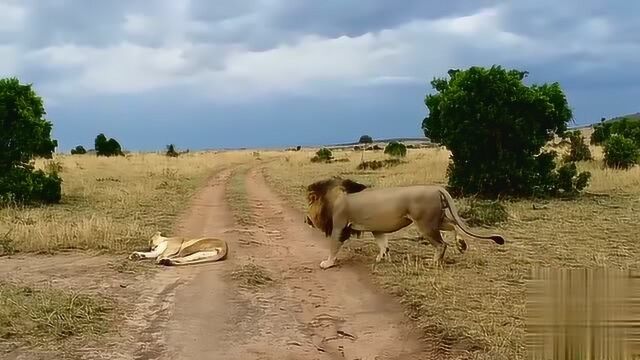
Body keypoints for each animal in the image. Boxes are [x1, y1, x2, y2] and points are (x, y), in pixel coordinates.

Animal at [304, 176, 504, 268]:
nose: (306, 219)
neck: (332, 198)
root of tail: (436, 188)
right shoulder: (377, 229)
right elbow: (383, 244)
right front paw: (381, 258)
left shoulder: (339, 225)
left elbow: (333, 246)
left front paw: (327, 263)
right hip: (435, 220)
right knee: (453, 225)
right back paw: (461, 244)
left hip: (425, 224)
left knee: (441, 244)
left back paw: (433, 262)